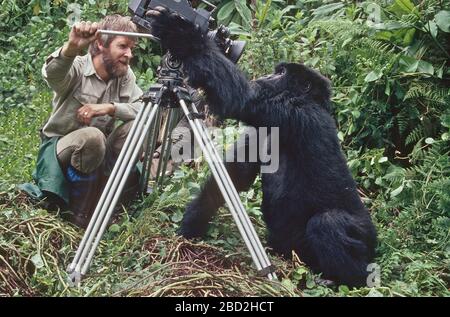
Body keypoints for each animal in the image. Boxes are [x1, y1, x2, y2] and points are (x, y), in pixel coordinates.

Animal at [148, 7, 376, 286]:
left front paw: (181, 35)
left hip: (366, 238)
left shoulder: (292, 111)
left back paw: (346, 279)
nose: (267, 76)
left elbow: (241, 97)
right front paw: (192, 223)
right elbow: (235, 174)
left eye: (281, 73)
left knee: (330, 223)